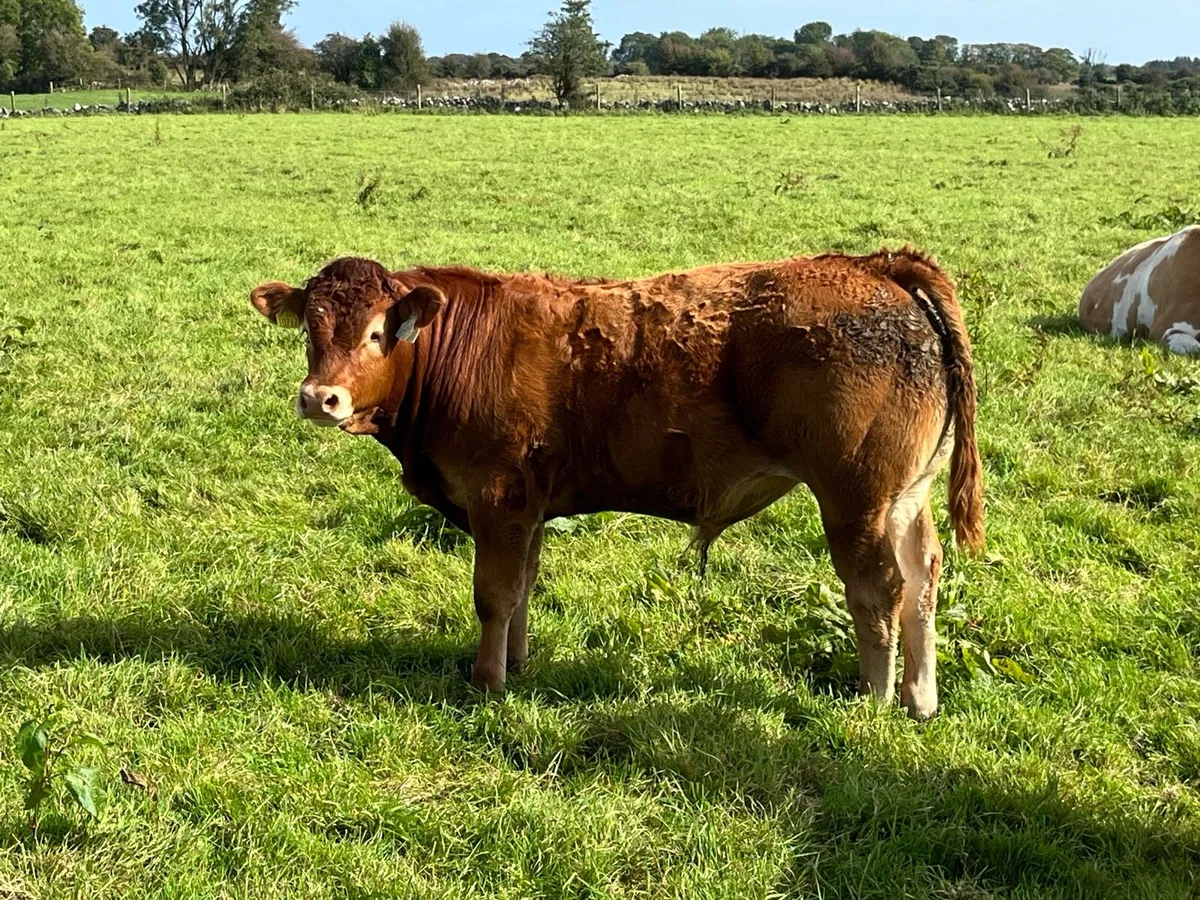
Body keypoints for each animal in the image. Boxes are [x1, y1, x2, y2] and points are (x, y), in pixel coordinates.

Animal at [250, 248, 984, 720]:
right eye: (311, 328)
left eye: (379, 331)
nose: (320, 398)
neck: (460, 349)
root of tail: (874, 264)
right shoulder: (528, 508)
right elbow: (523, 589)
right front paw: (517, 665)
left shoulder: (496, 499)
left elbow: (493, 596)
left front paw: (486, 682)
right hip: (903, 500)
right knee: (922, 578)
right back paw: (921, 698)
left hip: (856, 500)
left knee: (878, 592)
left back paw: (877, 698)